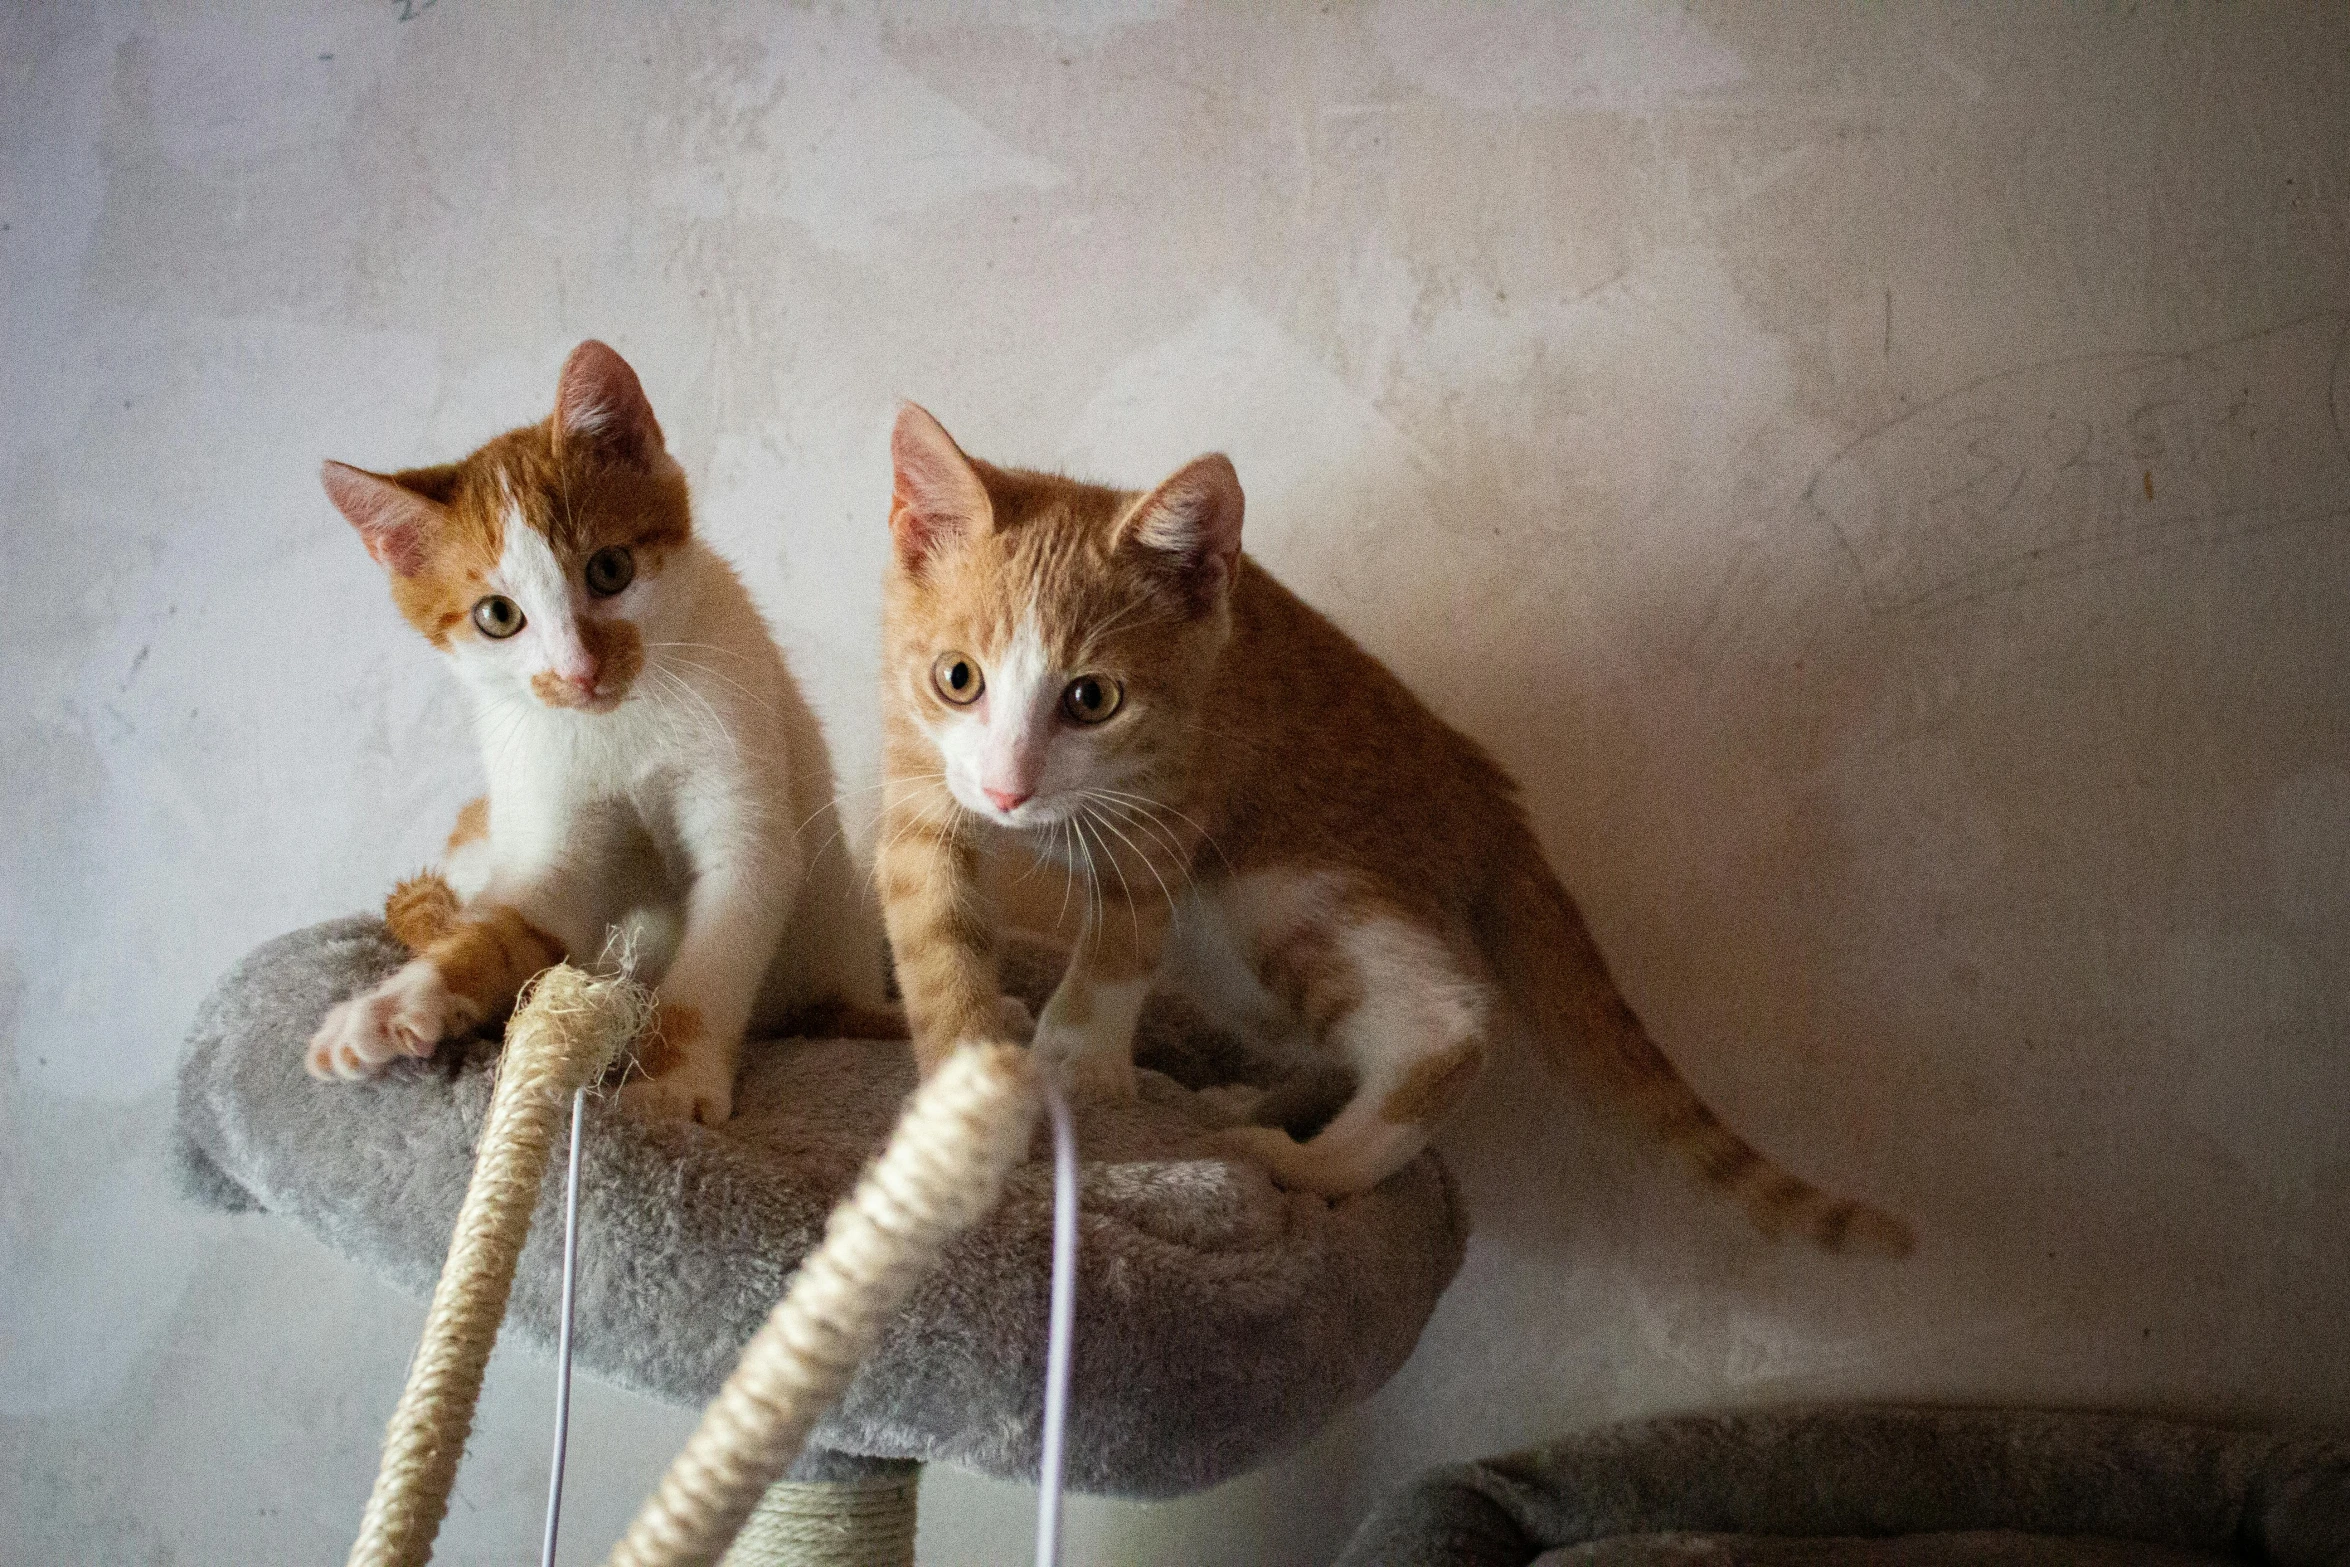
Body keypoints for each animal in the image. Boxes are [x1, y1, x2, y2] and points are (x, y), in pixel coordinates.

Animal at [310, 343, 888, 1127]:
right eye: (497, 615)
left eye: (609, 568)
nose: (579, 671)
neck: (618, 726)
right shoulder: (557, 852)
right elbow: (510, 922)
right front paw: (390, 1006)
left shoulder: (748, 814)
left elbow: (716, 956)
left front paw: (671, 1085)